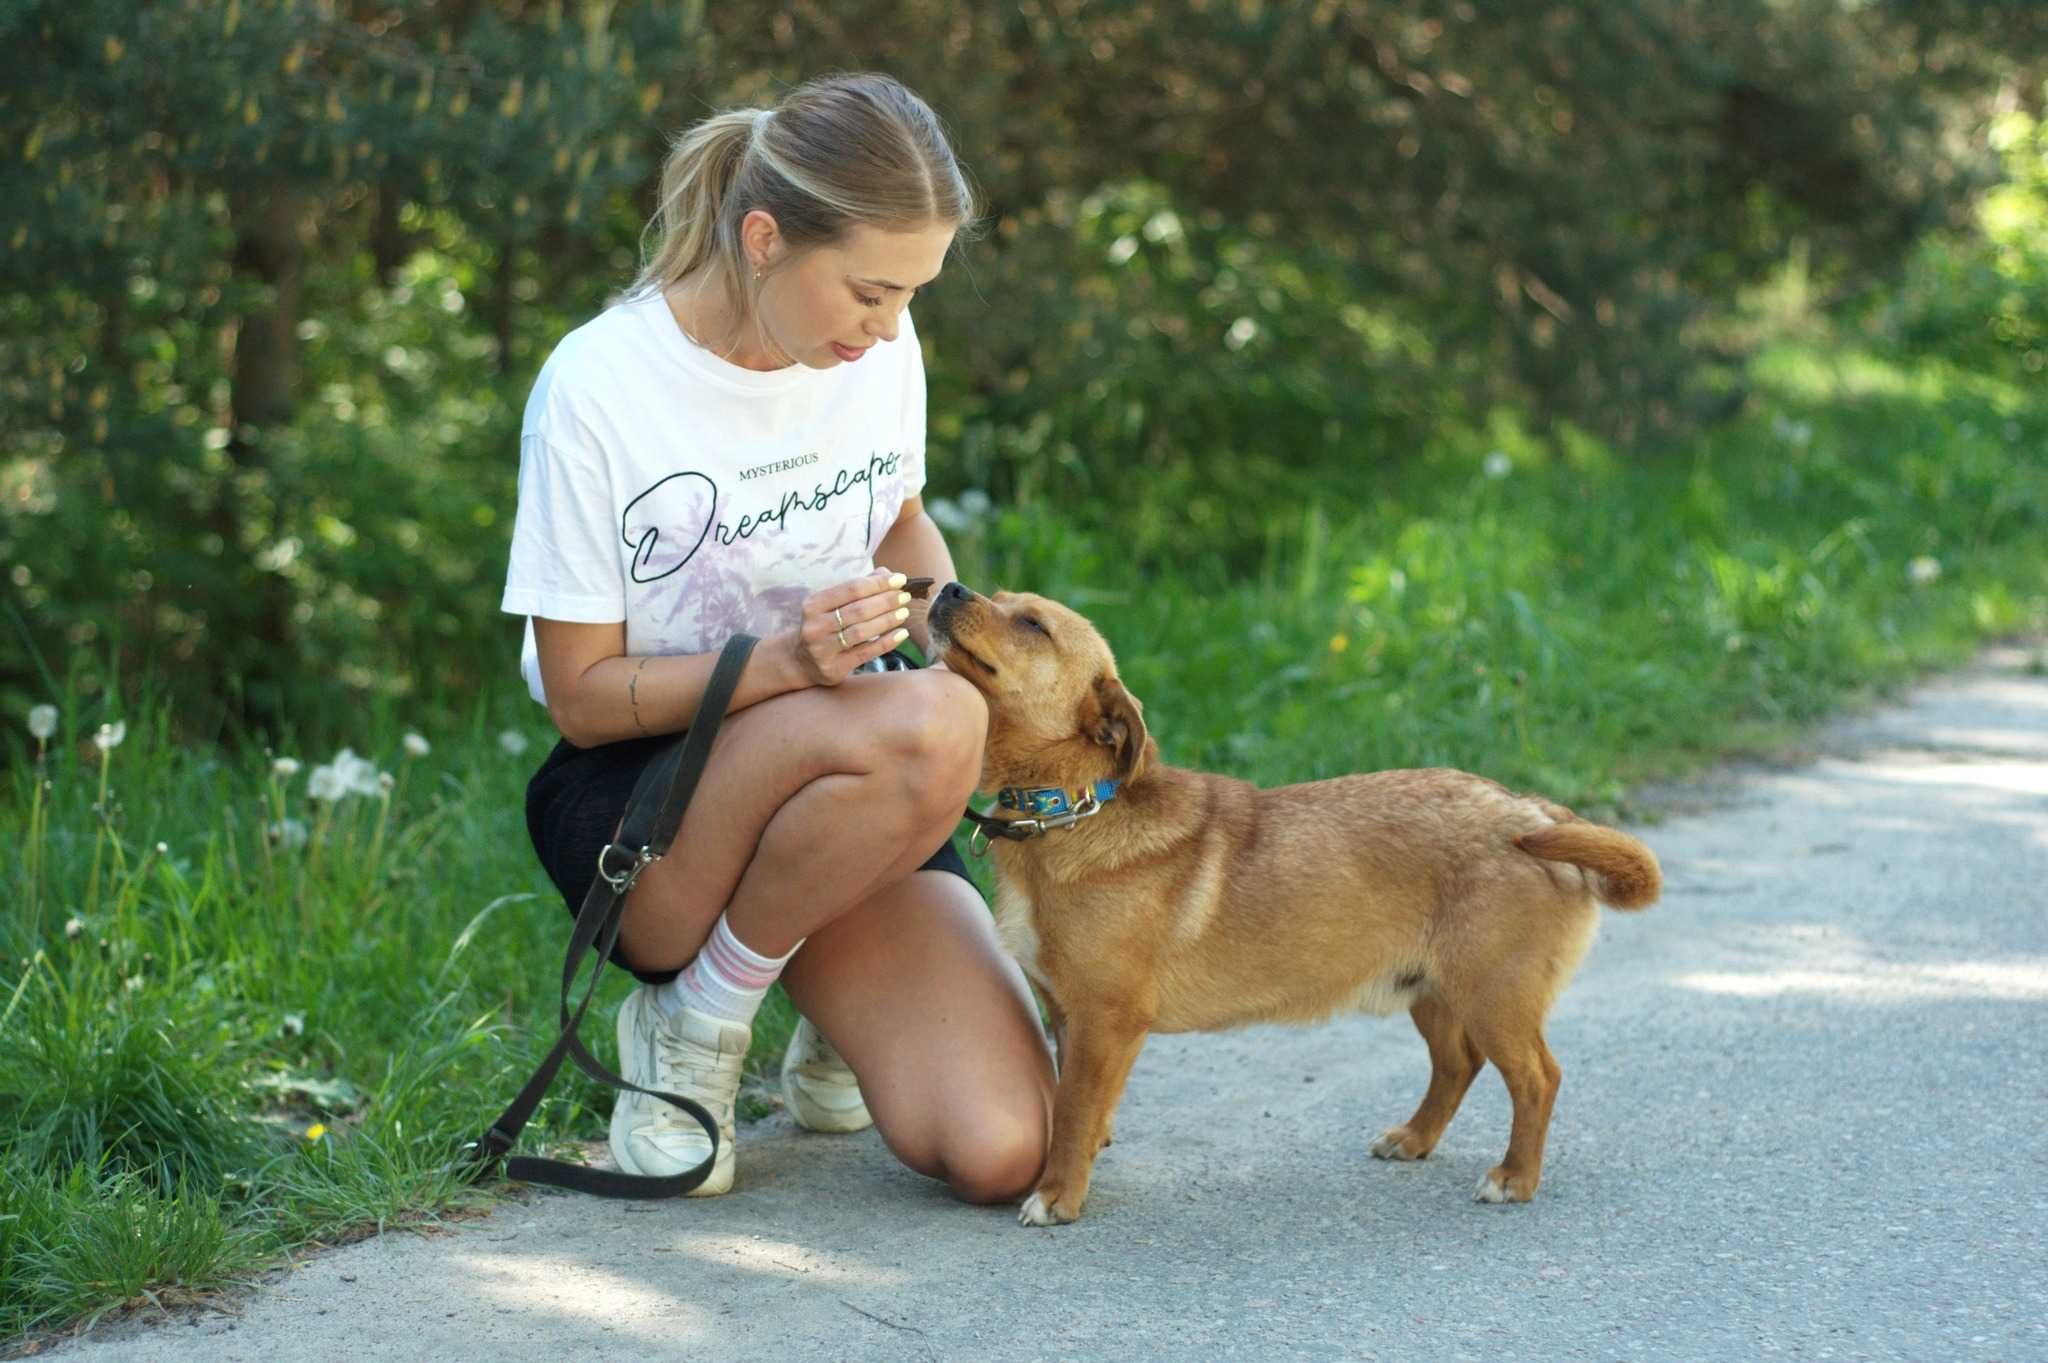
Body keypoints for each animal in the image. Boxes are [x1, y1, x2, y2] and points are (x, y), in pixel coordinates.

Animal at [929, 577, 1662, 1227]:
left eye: (1033, 624)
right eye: (1000, 597)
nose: (946, 587)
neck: (1071, 809)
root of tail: (1533, 813)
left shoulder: (1105, 1019)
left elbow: (1075, 1110)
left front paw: (1058, 1193)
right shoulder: (1067, 1015)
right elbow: (1077, 1102)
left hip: (1493, 995)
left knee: (1538, 1077)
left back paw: (1515, 1177)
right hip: (1432, 990)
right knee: (1458, 1064)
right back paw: (1415, 1138)